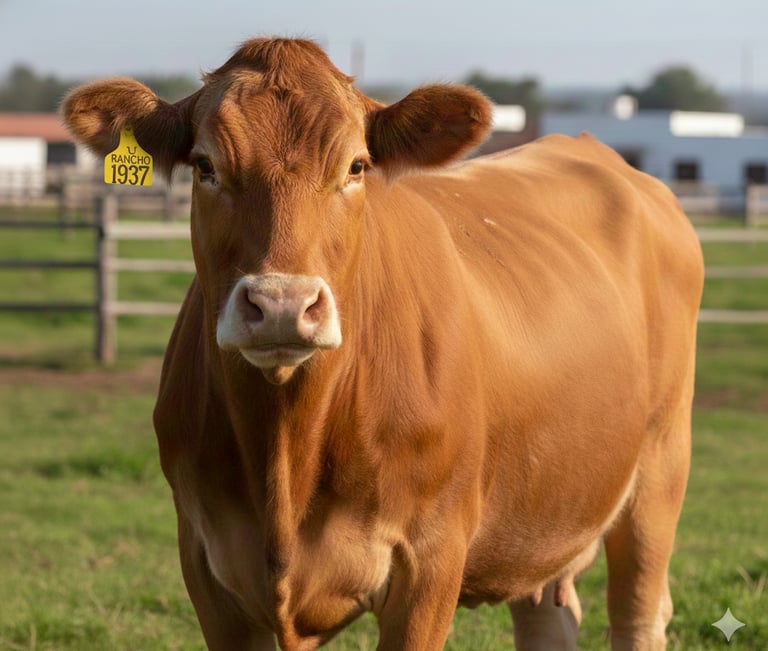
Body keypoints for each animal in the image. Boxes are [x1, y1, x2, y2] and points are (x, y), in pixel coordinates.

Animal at [62, 37, 703, 650]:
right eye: (204, 165)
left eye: (356, 166)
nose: (282, 305)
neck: (287, 457)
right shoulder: (206, 565)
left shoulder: (432, 562)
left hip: (659, 470)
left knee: (639, 615)